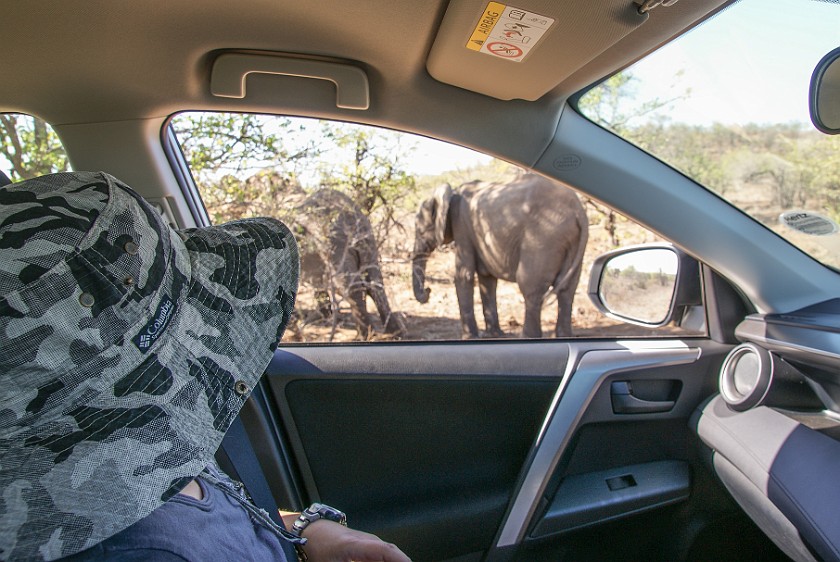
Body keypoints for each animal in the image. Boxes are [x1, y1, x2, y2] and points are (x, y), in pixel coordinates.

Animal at [294, 188, 406, 336]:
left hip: (332, 241)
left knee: (349, 285)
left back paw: (365, 335)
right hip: (366, 239)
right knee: (375, 282)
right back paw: (395, 331)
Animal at [412, 173, 584, 336]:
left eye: (420, 230)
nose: (428, 290)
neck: (451, 192)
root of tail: (578, 211)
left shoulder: (461, 224)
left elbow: (464, 275)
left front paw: (470, 337)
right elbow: (487, 279)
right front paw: (493, 334)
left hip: (543, 237)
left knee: (530, 287)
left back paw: (528, 337)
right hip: (569, 239)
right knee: (567, 289)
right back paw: (563, 335)